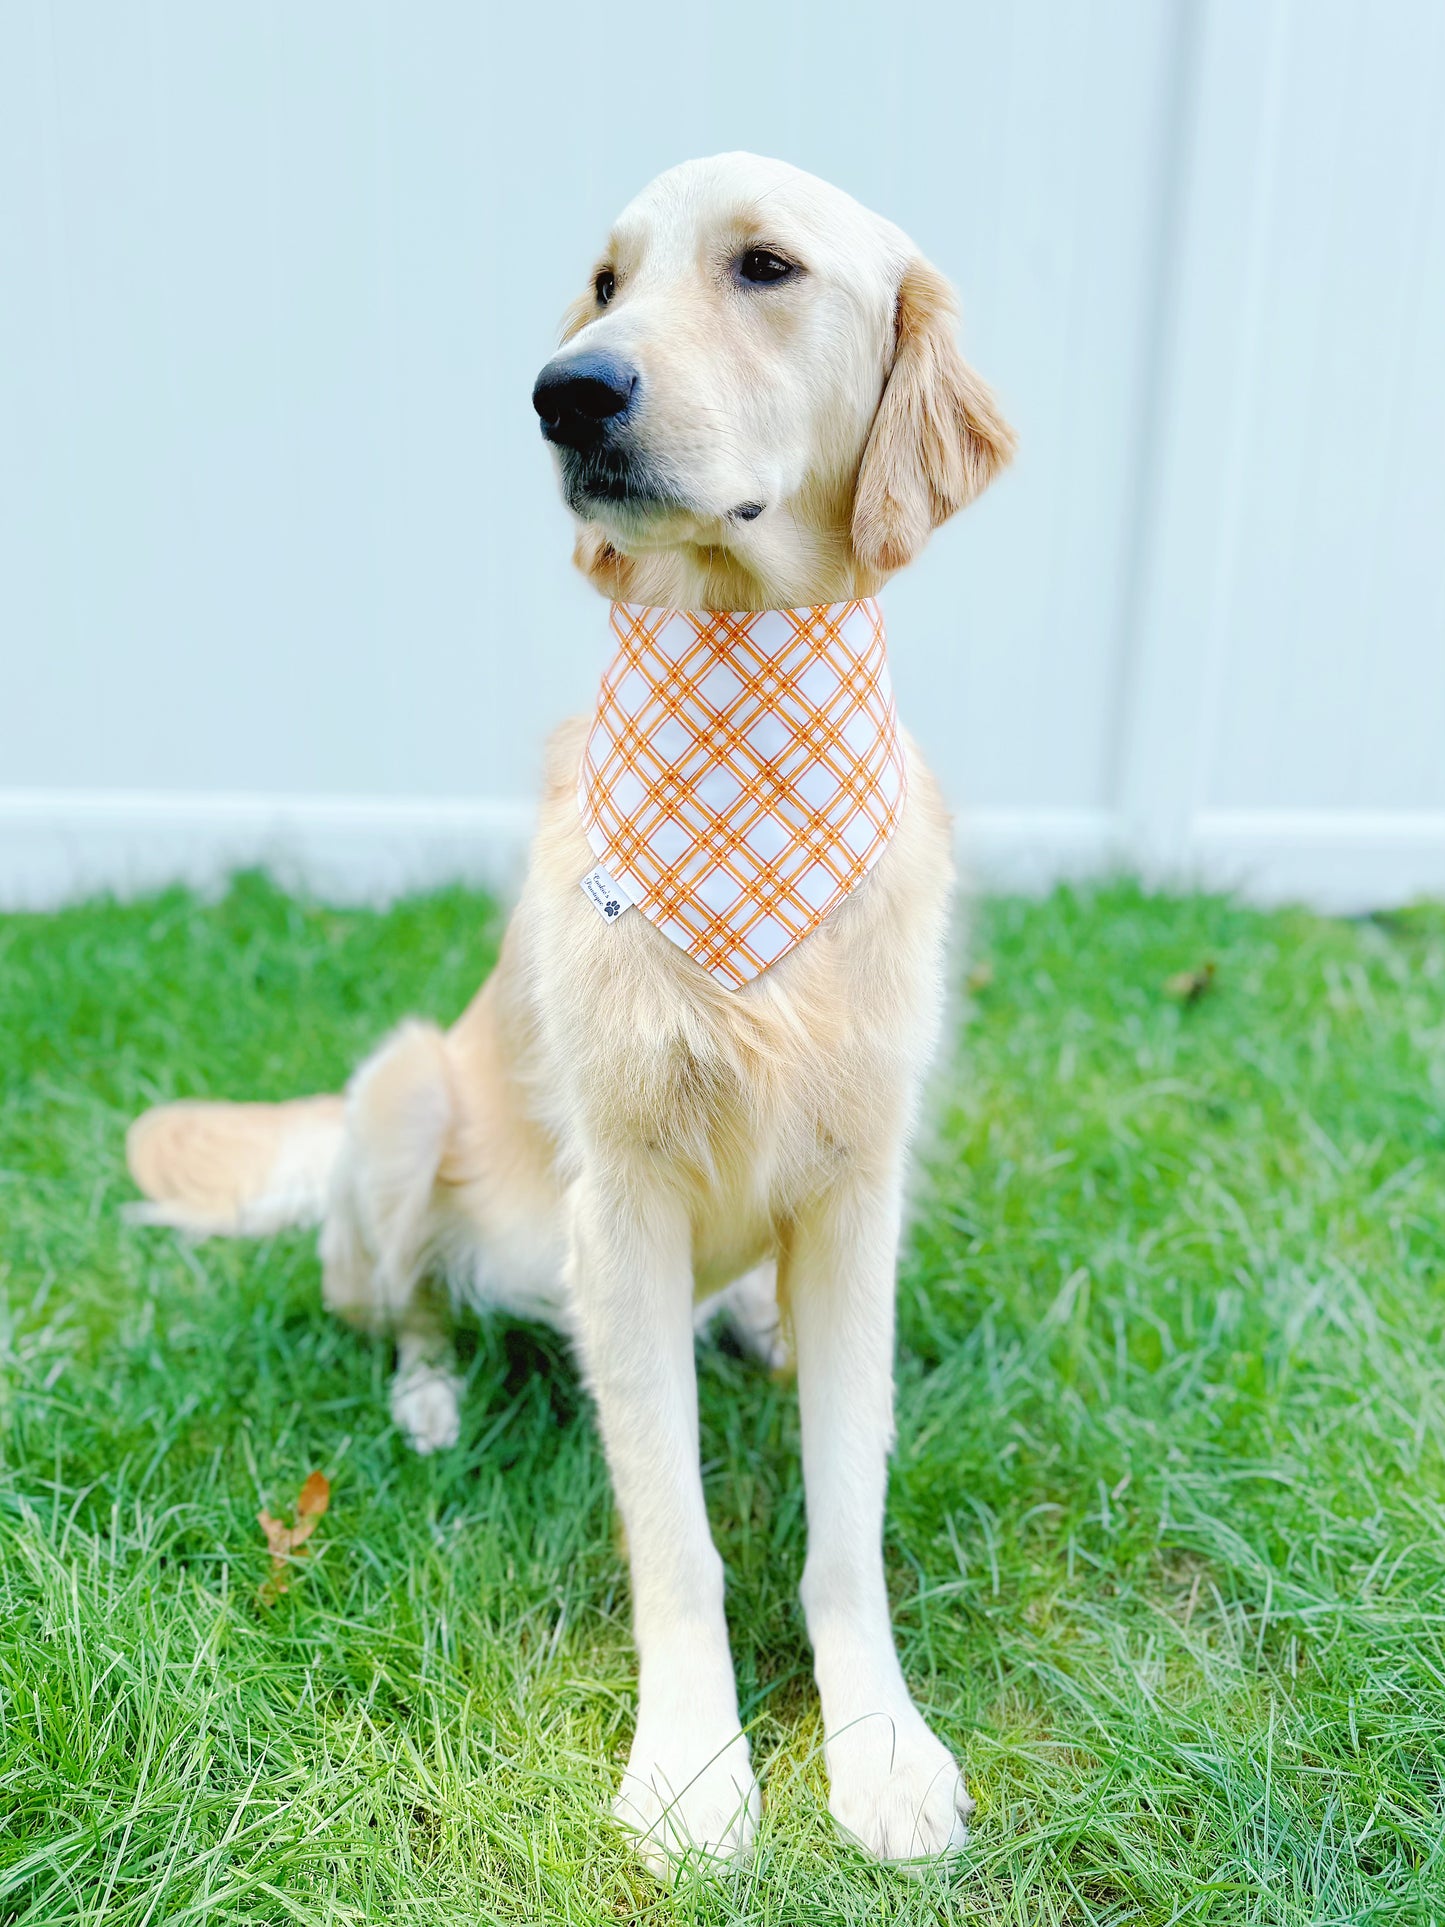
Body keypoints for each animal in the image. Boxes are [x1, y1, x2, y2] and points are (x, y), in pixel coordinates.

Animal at [132, 158, 1017, 1873]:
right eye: (604, 283)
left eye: (765, 267)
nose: (566, 392)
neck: (746, 705)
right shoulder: (624, 1193)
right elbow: (675, 1532)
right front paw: (690, 1765)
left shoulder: (859, 1183)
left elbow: (846, 1516)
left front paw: (876, 1743)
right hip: (404, 1089)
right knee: (398, 1297)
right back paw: (426, 1397)